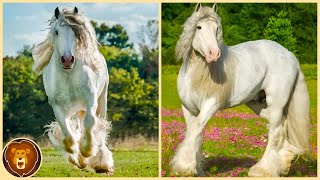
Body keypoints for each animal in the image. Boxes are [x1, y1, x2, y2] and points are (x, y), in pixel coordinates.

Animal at [32, 7, 114, 174]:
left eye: (75, 32)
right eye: (57, 32)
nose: (67, 60)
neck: (69, 76)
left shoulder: (90, 100)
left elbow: (90, 123)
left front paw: (87, 151)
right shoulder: (57, 106)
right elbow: (67, 134)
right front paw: (78, 157)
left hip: (101, 100)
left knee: (99, 126)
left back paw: (102, 163)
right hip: (76, 109)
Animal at [170, 3, 310, 176]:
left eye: (217, 28)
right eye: (199, 27)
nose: (213, 54)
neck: (198, 74)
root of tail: (289, 54)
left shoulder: (210, 104)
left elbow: (195, 129)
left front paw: (183, 167)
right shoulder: (188, 108)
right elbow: (193, 133)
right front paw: (196, 169)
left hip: (276, 103)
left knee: (275, 131)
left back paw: (262, 170)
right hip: (259, 104)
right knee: (282, 126)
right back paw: (283, 164)